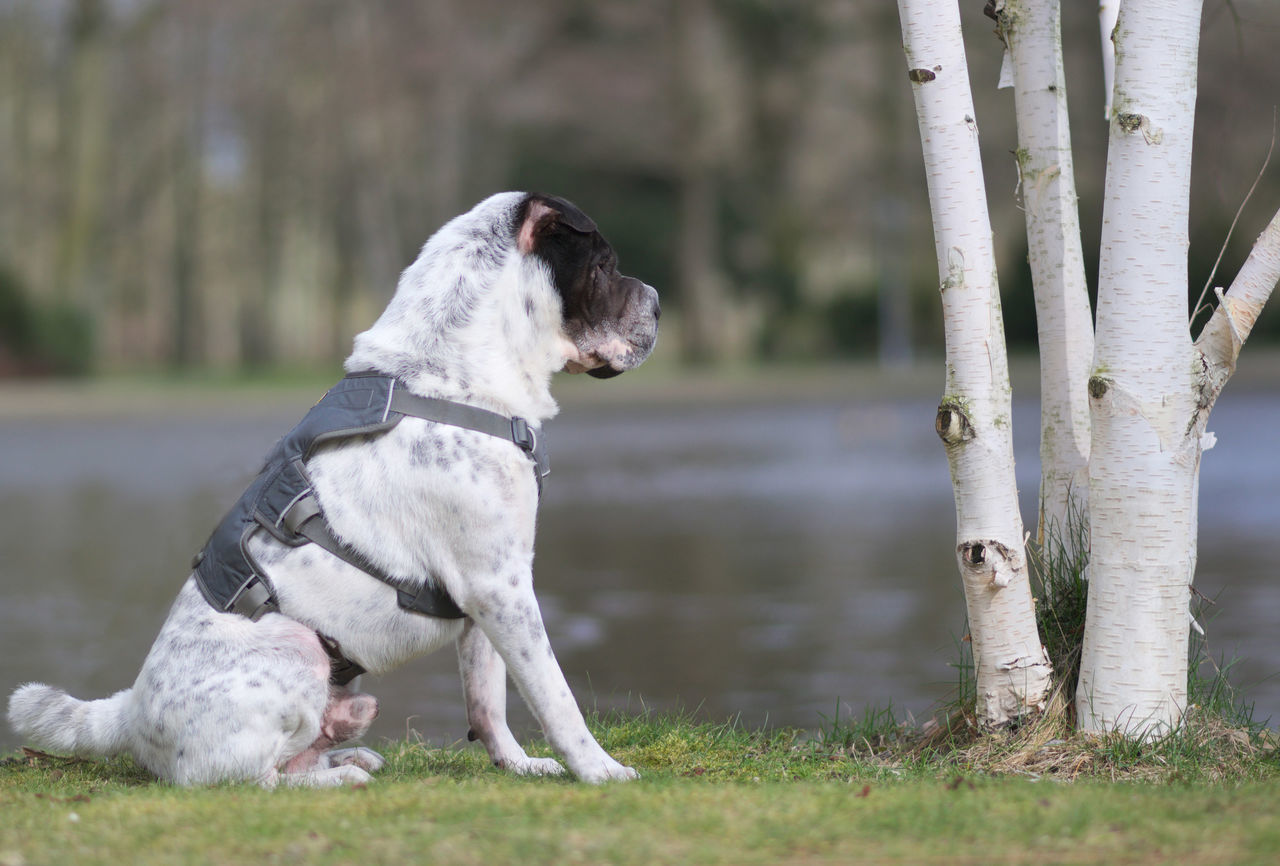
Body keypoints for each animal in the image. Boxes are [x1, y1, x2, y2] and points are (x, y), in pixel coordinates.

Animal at [12, 193, 660, 787]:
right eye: (603, 265)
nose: (656, 300)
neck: (451, 375)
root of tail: (127, 711)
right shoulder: (500, 590)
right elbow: (555, 695)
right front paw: (600, 769)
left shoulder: (489, 596)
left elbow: (489, 703)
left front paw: (520, 765)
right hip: (295, 649)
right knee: (248, 779)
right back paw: (335, 777)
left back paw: (347, 754)